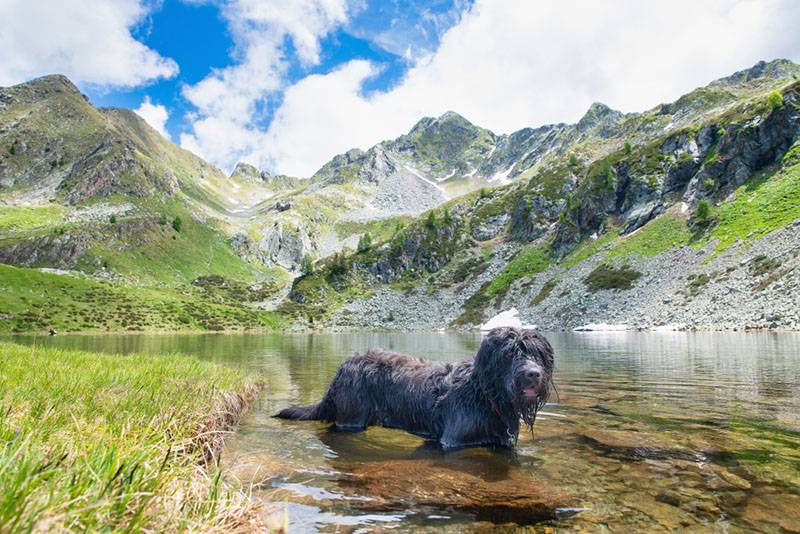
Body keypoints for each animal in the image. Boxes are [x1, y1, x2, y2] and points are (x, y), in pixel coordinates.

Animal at [274, 328, 552, 450]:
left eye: (538, 354)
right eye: (509, 353)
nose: (533, 374)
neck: (484, 396)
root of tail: (342, 369)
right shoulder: (453, 441)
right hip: (351, 418)